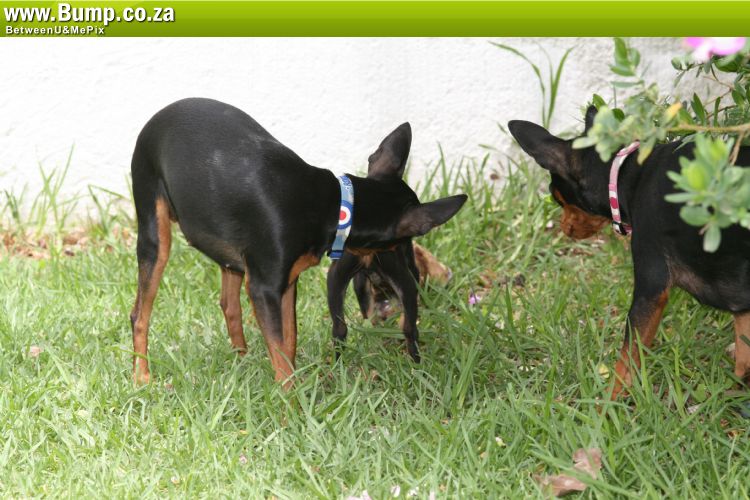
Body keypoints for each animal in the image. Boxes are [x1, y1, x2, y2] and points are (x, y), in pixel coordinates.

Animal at [128, 97, 466, 386]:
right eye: (404, 244)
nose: (412, 269)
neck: (336, 205)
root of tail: (155, 118)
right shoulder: (265, 288)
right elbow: (281, 355)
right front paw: (290, 406)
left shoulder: (286, 282)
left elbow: (288, 342)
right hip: (154, 234)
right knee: (139, 314)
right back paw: (142, 377)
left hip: (229, 250)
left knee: (229, 304)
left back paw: (242, 358)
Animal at [509, 106, 750, 399]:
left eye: (557, 197)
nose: (565, 228)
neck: (627, 174)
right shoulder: (742, 301)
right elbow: (744, 355)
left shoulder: (651, 288)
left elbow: (626, 361)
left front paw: (607, 405)